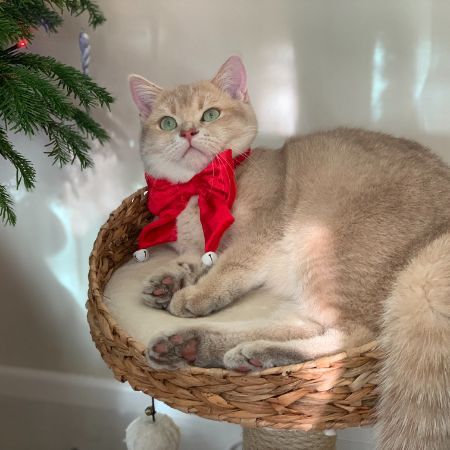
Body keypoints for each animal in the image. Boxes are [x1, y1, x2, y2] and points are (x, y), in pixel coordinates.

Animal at [128, 56, 450, 450]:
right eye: (167, 122)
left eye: (210, 114)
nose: (187, 132)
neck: (198, 190)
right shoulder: (202, 247)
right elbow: (194, 260)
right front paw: (165, 282)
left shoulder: (263, 229)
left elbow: (228, 266)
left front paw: (195, 294)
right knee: (308, 325)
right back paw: (194, 345)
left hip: (321, 245)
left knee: (352, 336)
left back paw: (247, 352)